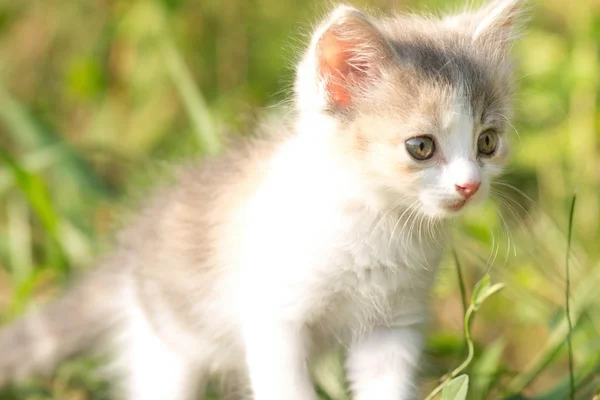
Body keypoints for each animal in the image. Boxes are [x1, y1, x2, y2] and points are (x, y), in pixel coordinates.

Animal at [0, 0, 520, 400]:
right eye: (421, 147)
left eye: (487, 142)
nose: (470, 186)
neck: (378, 224)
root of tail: (131, 249)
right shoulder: (274, 314)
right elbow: (285, 386)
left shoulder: (393, 325)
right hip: (166, 343)